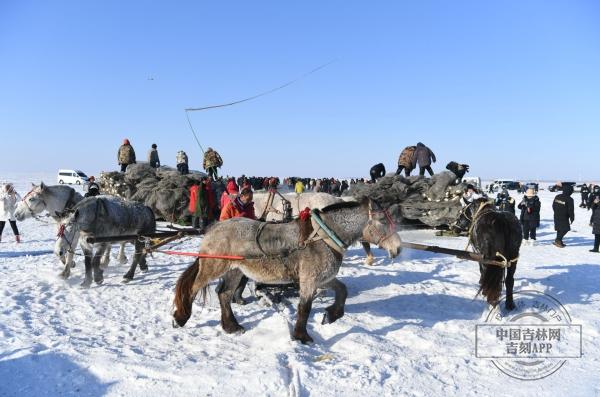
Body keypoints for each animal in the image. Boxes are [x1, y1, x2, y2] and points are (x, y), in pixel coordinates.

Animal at [171, 200, 400, 342]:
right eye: (381, 221)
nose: (398, 248)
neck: (323, 237)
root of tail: (213, 228)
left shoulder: (322, 279)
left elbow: (342, 290)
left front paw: (331, 315)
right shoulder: (309, 281)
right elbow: (304, 308)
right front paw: (301, 336)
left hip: (235, 271)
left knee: (225, 295)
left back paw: (231, 326)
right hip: (213, 267)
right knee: (193, 289)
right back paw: (180, 317)